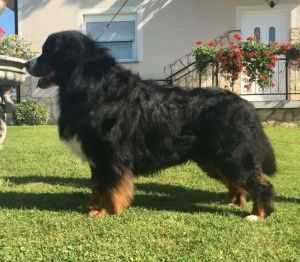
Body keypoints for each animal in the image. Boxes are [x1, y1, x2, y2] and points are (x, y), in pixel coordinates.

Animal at [25, 30, 276, 220]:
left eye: (47, 52)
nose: (27, 63)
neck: (91, 87)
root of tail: (245, 104)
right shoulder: (97, 158)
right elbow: (97, 186)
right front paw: (93, 206)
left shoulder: (110, 155)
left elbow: (110, 187)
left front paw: (105, 211)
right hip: (213, 159)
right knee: (237, 183)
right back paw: (234, 202)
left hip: (232, 155)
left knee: (259, 183)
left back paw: (257, 214)